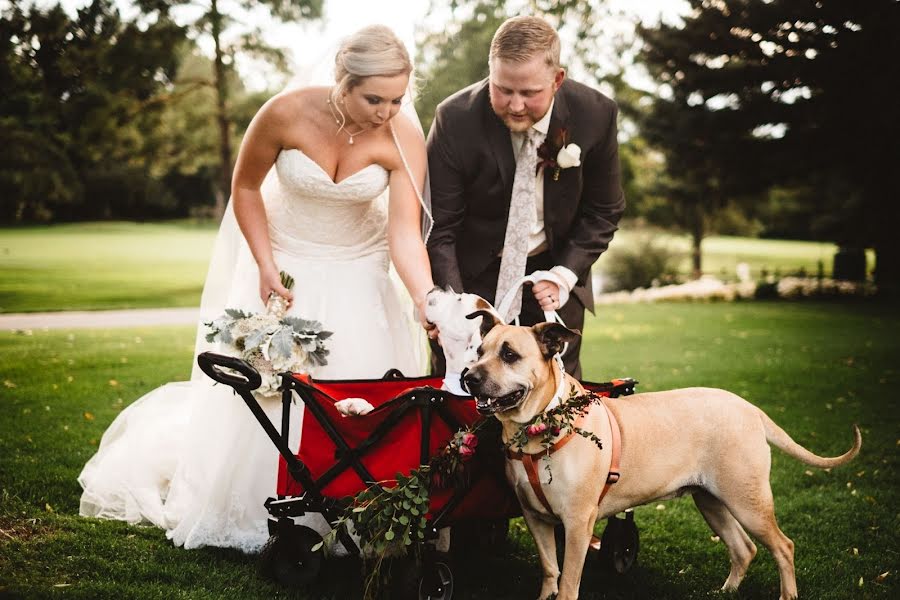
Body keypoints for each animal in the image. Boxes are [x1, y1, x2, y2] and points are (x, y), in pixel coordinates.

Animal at [468, 314, 860, 600]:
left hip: (748, 501)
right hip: (711, 501)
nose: (468, 377)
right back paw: (726, 591)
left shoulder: (577, 523)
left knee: (783, 546)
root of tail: (749, 408)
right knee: (744, 548)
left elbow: (568, 583)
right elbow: (551, 570)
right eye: (479, 352)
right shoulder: (536, 517)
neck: (542, 424)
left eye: (509, 355)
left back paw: (786, 594)